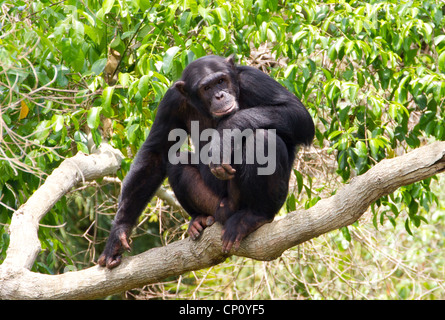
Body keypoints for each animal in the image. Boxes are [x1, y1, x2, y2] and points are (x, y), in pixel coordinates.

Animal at [98, 54, 312, 268]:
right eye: (207, 88)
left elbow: (297, 114)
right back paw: (199, 219)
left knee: (264, 138)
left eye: (221, 81)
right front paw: (118, 234)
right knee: (178, 159)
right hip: (216, 205)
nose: (220, 96)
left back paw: (253, 217)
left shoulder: (253, 80)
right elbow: (155, 154)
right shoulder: (171, 102)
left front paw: (225, 134)